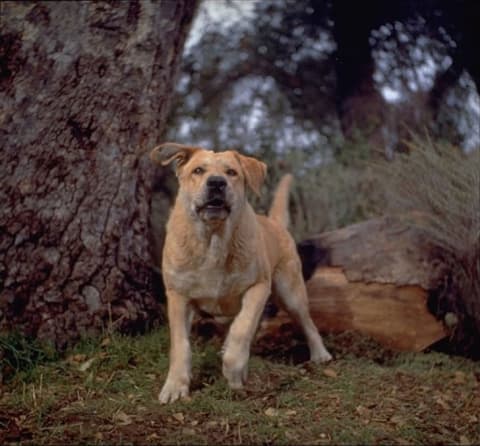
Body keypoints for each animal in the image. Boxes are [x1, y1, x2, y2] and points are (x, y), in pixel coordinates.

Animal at [149, 144, 330, 404]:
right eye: (198, 170)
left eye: (231, 172)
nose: (216, 183)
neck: (213, 241)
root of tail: (274, 222)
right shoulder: (177, 296)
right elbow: (181, 345)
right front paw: (175, 386)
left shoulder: (257, 287)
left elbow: (242, 329)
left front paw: (233, 370)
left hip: (290, 291)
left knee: (307, 322)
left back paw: (320, 354)